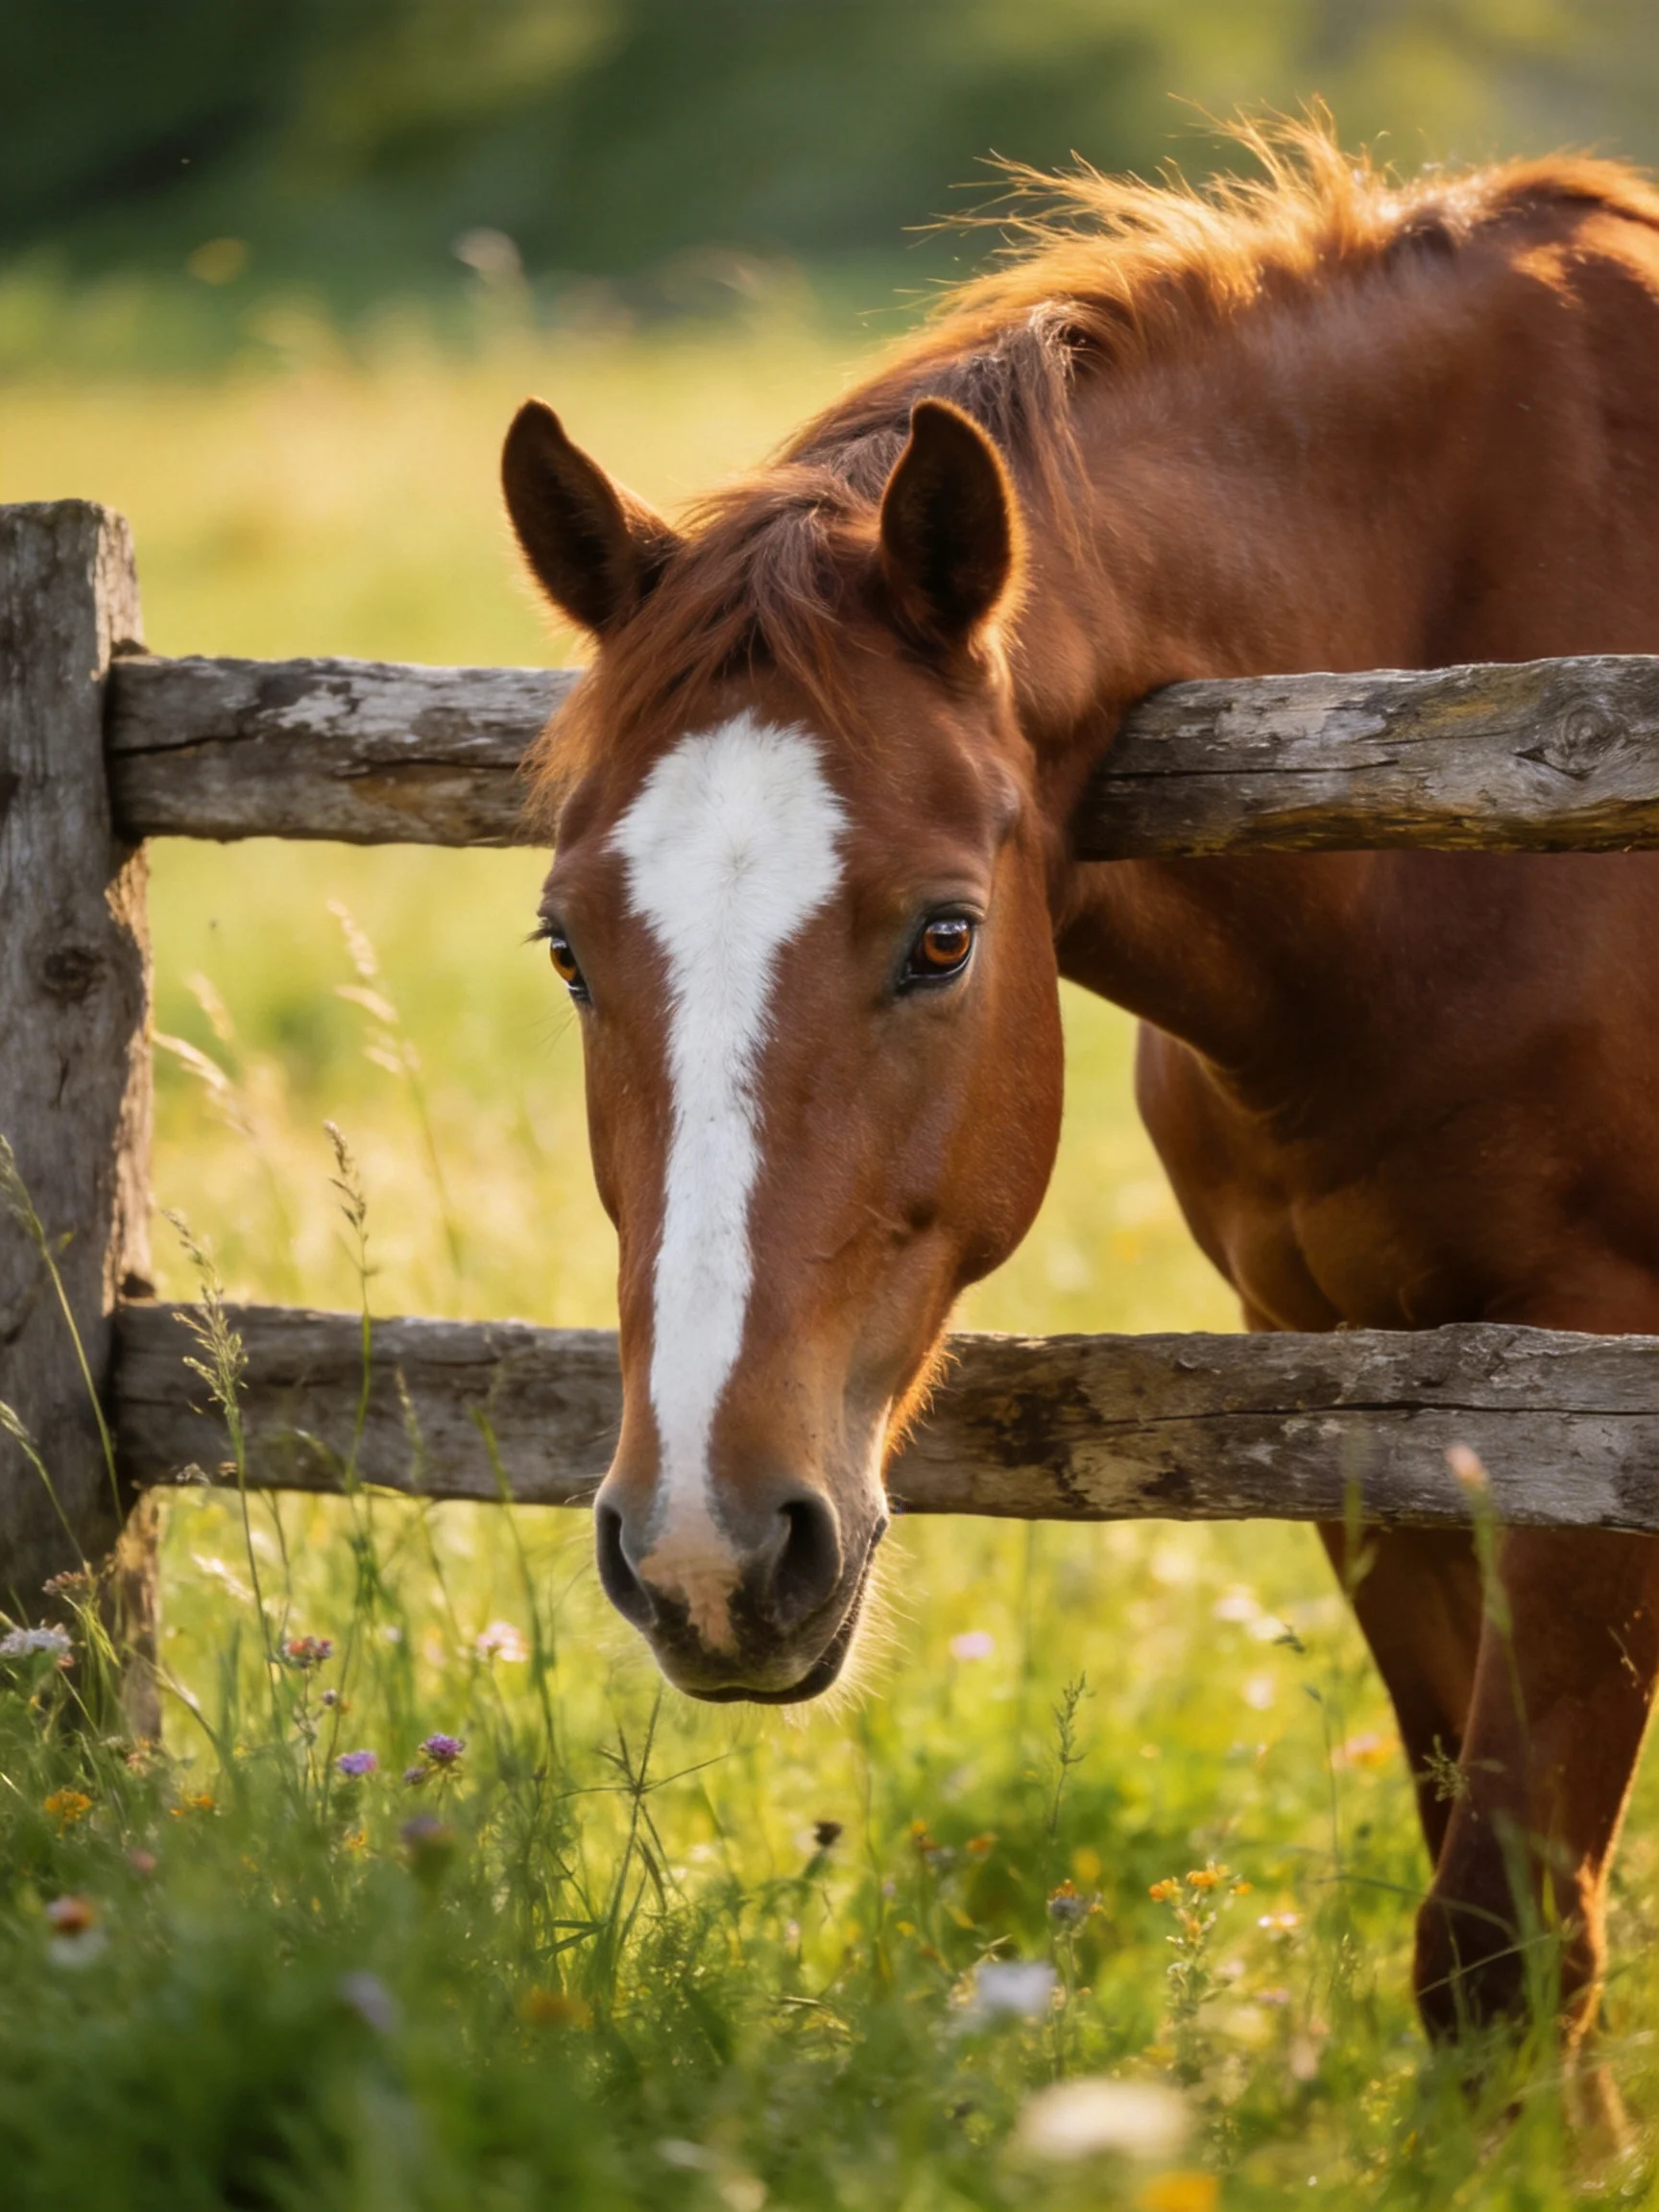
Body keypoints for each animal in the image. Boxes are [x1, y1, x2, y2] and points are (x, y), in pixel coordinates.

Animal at [500, 123, 1659, 2053]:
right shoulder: (1360, 1390)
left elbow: (1505, 1947)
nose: (706, 1558)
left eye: (944, 937)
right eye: (570, 949)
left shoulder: (1596, 1389)